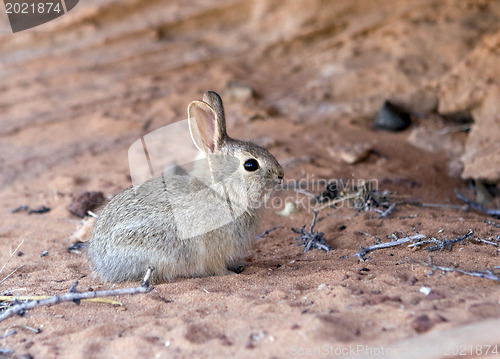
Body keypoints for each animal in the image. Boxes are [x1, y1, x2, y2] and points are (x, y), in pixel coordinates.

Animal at [88, 91, 284, 286]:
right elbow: (217, 267)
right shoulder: (213, 249)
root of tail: (101, 263)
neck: (221, 192)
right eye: (251, 165)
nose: (281, 175)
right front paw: (230, 274)